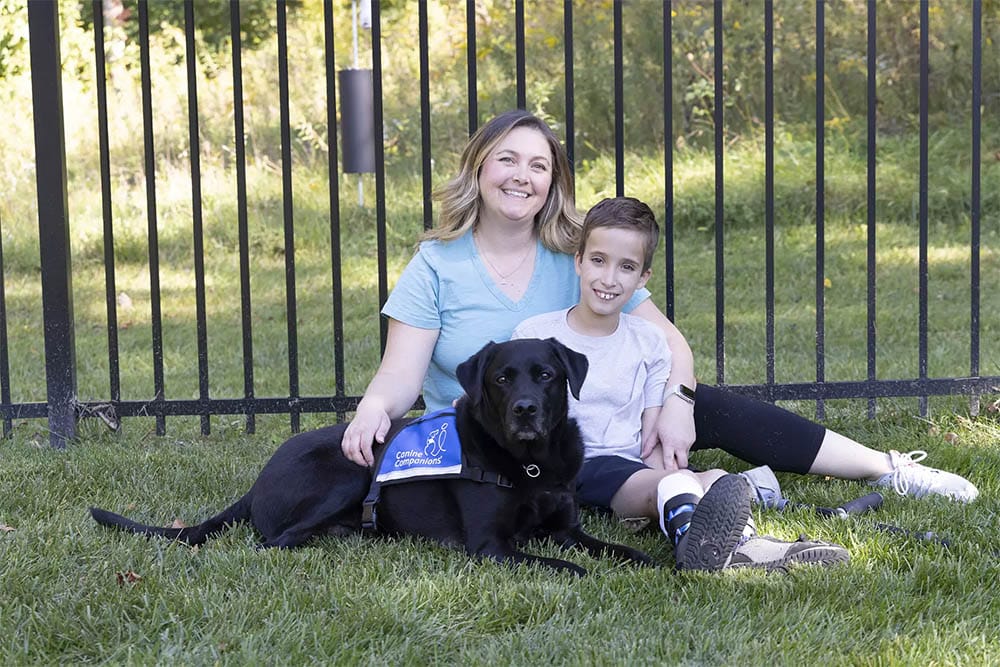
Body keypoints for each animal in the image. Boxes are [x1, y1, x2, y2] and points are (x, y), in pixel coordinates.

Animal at [90, 340, 652, 576]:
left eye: (546, 375)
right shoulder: (490, 546)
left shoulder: (566, 527)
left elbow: (611, 549)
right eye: (501, 378)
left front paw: (648, 560)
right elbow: (562, 565)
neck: (529, 462)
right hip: (350, 474)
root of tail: (256, 483)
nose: (526, 411)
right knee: (272, 543)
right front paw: (584, 574)